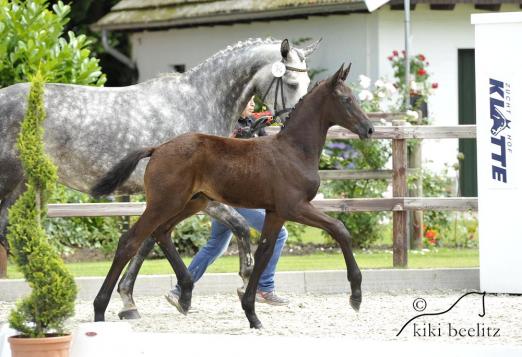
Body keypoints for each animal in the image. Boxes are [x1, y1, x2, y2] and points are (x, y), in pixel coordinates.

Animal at [0, 38, 316, 318]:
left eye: (308, 83)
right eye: (291, 83)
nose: (295, 127)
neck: (197, 102)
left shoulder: (174, 198)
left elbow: (149, 240)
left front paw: (132, 300)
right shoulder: (193, 197)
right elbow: (235, 226)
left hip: (23, 184)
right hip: (10, 179)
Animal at [91, 62, 372, 326]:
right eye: (346, 99)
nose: (369, 129)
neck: (294, 150)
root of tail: (157, 149)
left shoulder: (275, 212)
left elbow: (263, 254)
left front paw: (251, 313)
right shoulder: (294, 207)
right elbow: (339, 228)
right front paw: (356, 296)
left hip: (191, 202)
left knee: (161, 233)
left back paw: (185, 295)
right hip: (164, 203)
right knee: (130, 240)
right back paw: (101, 308)